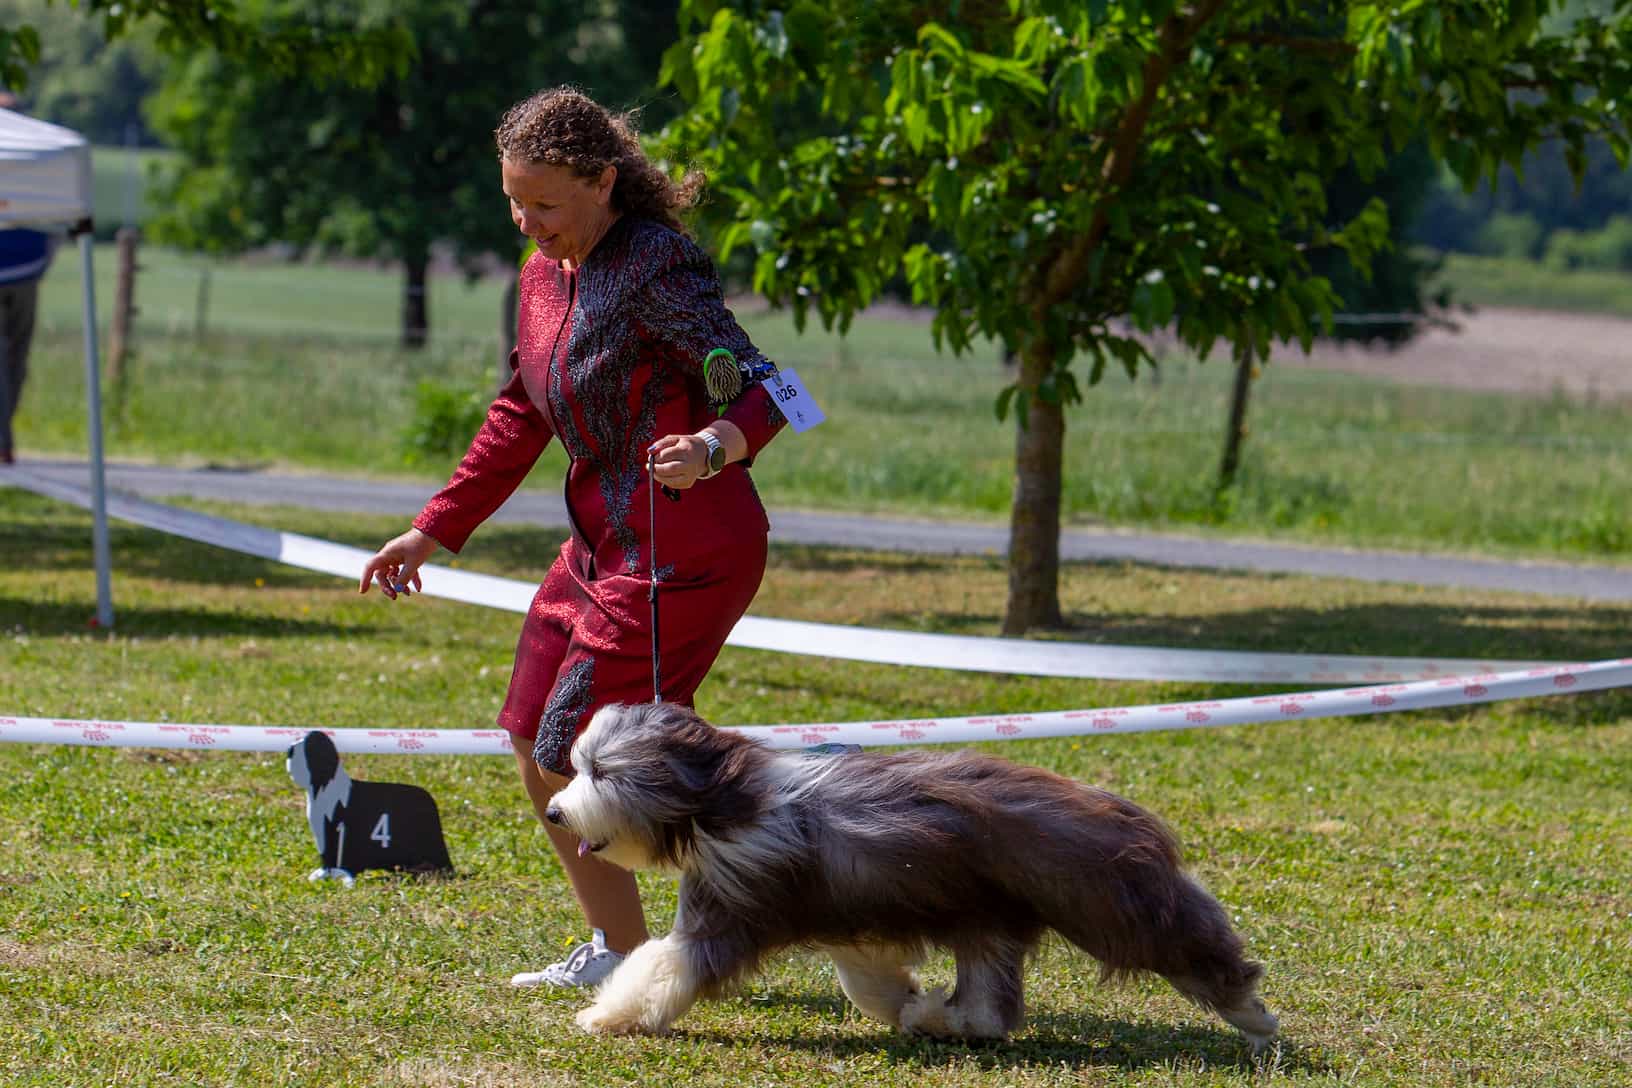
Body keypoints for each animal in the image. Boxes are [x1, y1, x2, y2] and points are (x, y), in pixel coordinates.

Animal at [544, 702, 1279, 1047]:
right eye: (580, 766)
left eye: (600, 770)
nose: (553, 811)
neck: (723, 802)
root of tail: (1108, 804)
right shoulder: (846, 916)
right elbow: (866, 979)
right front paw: (904, 999)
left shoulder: (729, 914)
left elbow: (666, 966)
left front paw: (606, 1015)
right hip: (989, 914)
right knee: (988, 1007)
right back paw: (938, 1019)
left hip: (1101, 896)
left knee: (1182, 938)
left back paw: (1252, 1014)